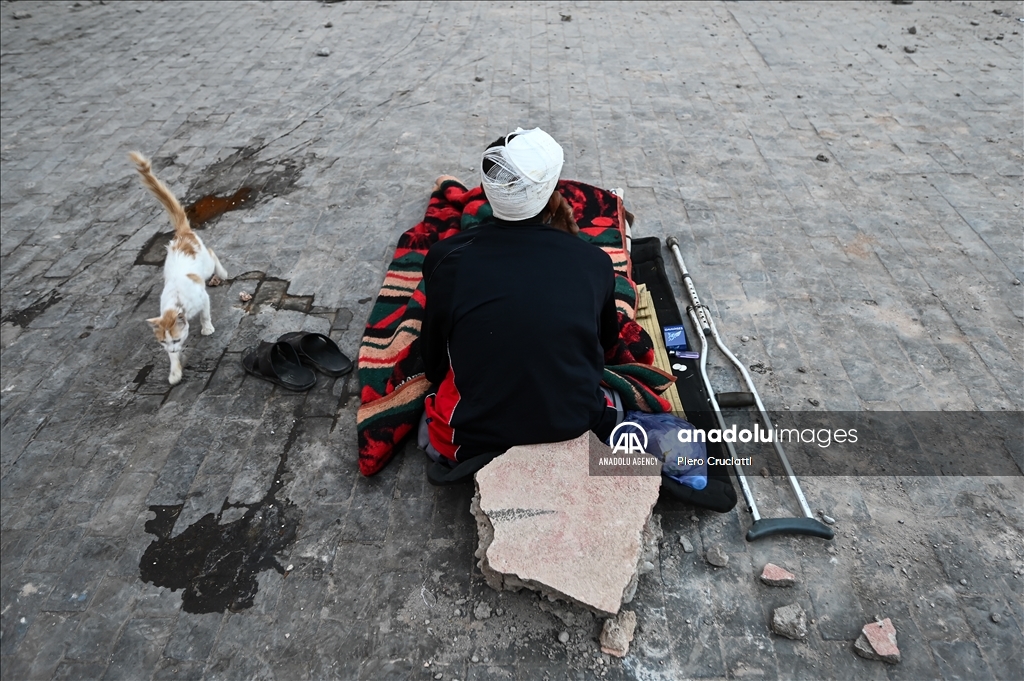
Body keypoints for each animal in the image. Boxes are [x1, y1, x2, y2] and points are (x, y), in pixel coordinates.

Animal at [130, 152, 228, 382]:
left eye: (175, 340)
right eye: (164, 343)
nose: (172, 348)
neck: (177, 305)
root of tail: (182, 234)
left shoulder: (203, 298)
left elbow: (205, 314)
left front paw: (207, 328)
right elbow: (173, 361)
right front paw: (175, 371)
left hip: (206, 265)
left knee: (212, 253)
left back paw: (222, 272)